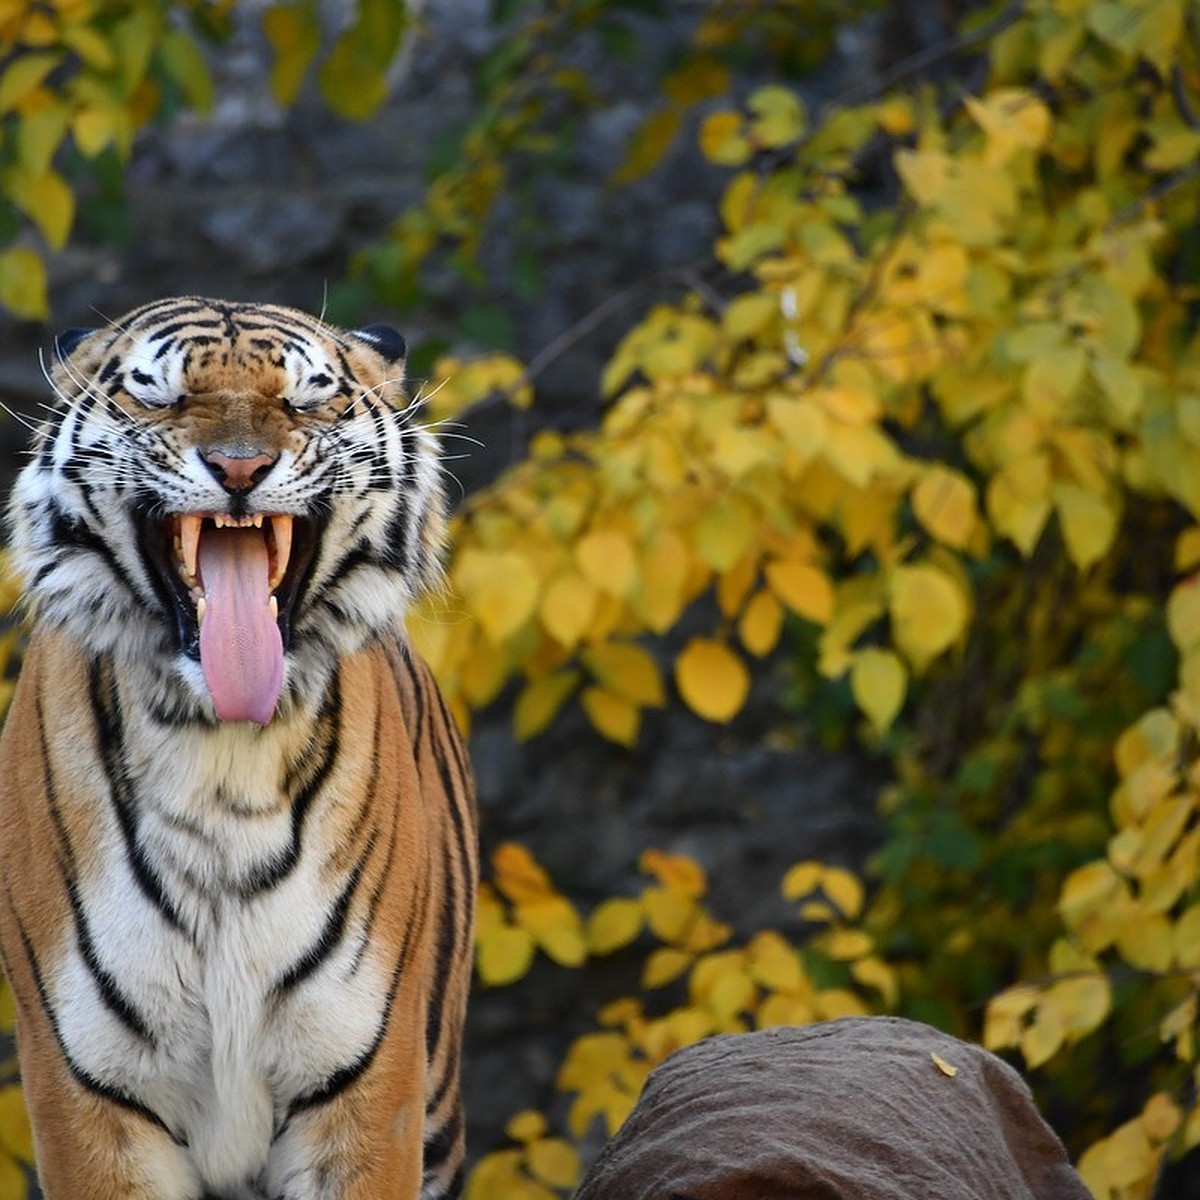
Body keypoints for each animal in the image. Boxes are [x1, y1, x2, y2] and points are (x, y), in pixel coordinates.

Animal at [0, 297, 475, 1200]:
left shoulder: (368, 1094)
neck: (219, 750)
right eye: (158, 396)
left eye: (307, 399)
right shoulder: (90, 1101)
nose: (241, 469)